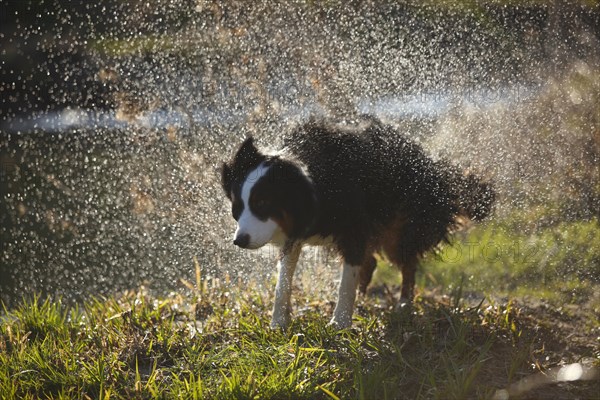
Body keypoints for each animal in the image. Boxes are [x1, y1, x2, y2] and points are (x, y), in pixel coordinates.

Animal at [220, 115, 492, 328]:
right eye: (237, 207)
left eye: (262, 203)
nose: (239, 240)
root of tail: (428, 161)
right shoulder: (295, 231)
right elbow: (284, 278)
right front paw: (278, 323)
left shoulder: (352, 222)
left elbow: (347, 276)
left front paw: (339, 322)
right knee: (371, 260)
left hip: (401, 220)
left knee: (406, 261)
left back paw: (403, 304)